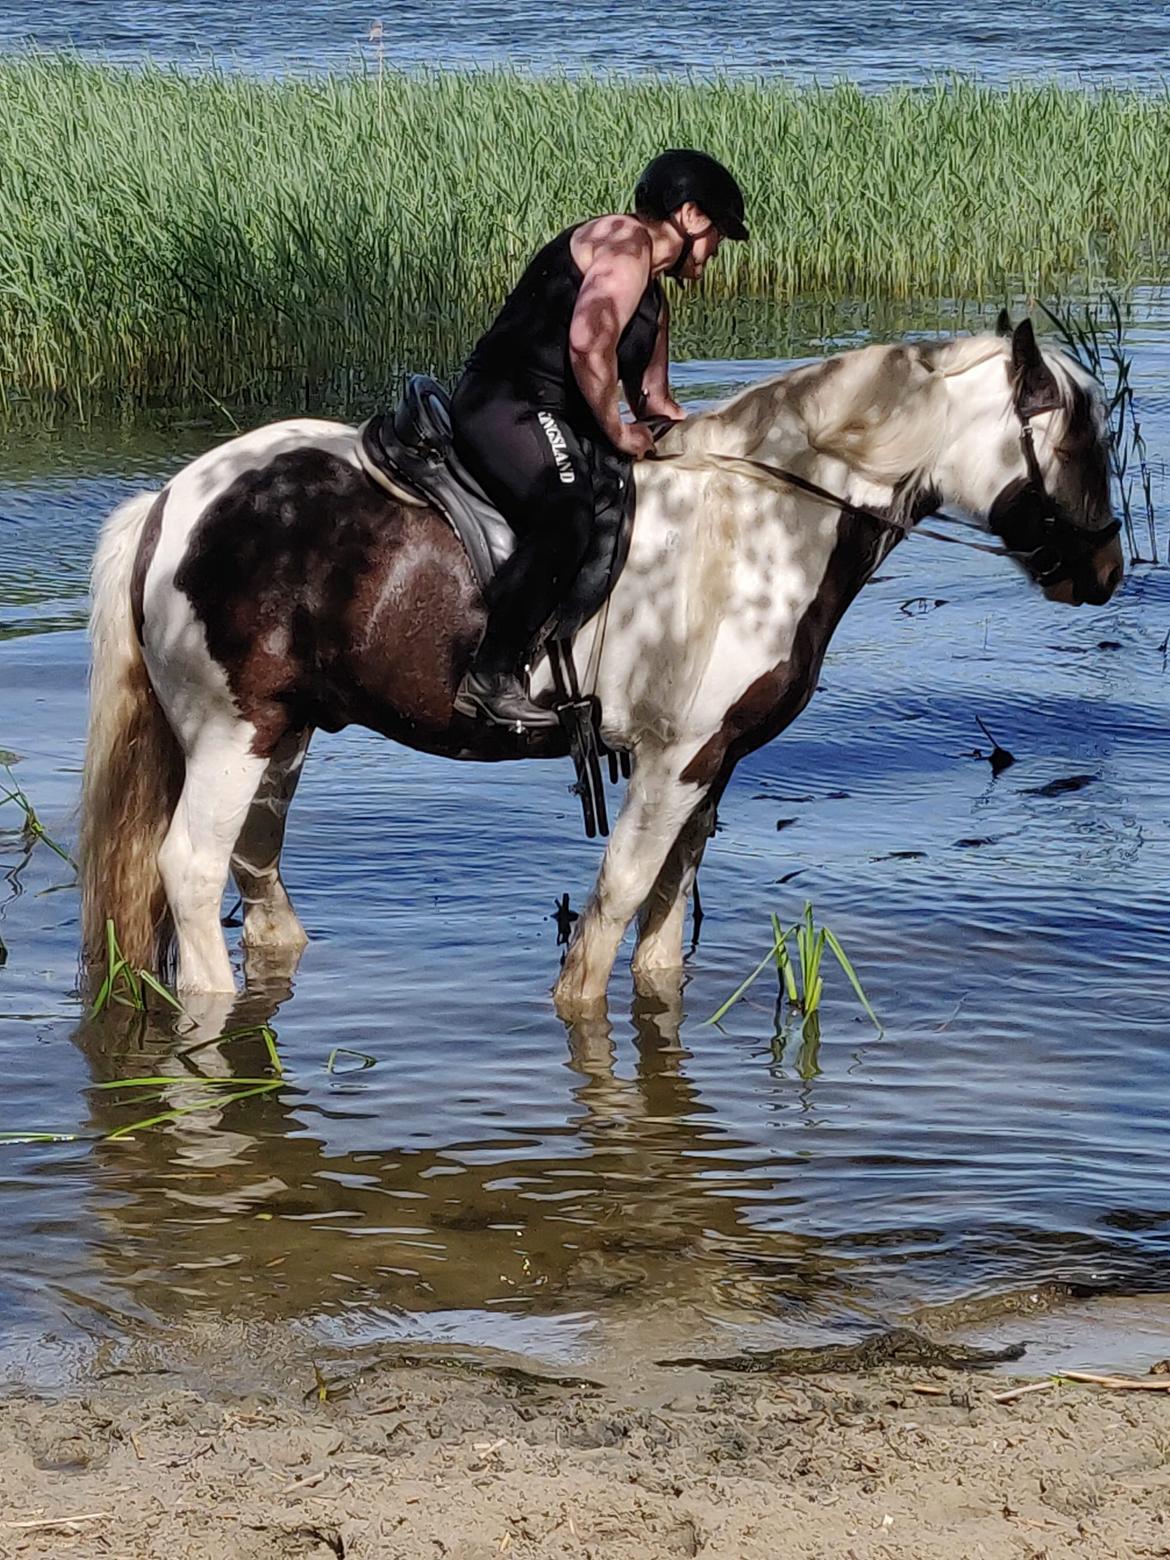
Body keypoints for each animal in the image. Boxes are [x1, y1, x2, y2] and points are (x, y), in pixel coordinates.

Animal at [80, 321, 1129, 1017]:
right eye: (1085, 437)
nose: (1107, 571)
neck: (772, 522)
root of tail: (173, 501)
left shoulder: (716, 761)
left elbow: (665, 920)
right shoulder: (678, 756)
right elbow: (619, 898)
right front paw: (578, 1004)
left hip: (284, 731)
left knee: (254, 872)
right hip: (234, 730)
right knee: (190, 867)